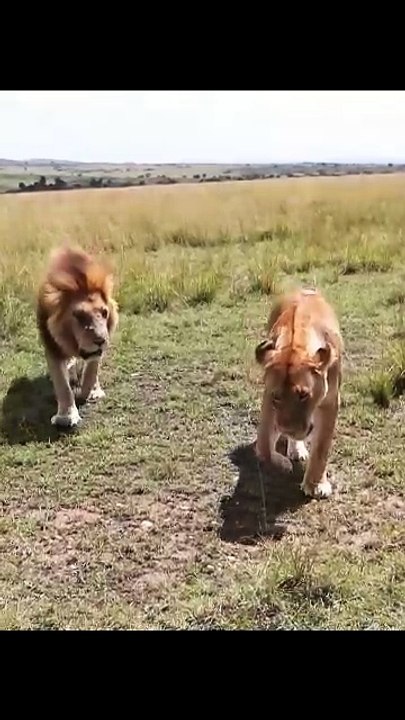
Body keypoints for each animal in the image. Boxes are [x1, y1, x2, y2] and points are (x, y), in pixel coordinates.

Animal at [37, 245, 119, 427]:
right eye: (79, 316)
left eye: (104, 313)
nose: (101, 341)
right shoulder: (52, 347)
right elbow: (62, 384)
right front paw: (66, 416)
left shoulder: (96, 353)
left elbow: (92, 371)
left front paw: (89, 391)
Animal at [254, 287, 343, 499]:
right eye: (277, 397)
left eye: (303, 395)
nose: (288, 430)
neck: (296, 342)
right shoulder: (268, 397)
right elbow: (263, 446)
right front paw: (282, 463)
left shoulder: (330, 402)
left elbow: (321, 448)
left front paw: (316, 485)